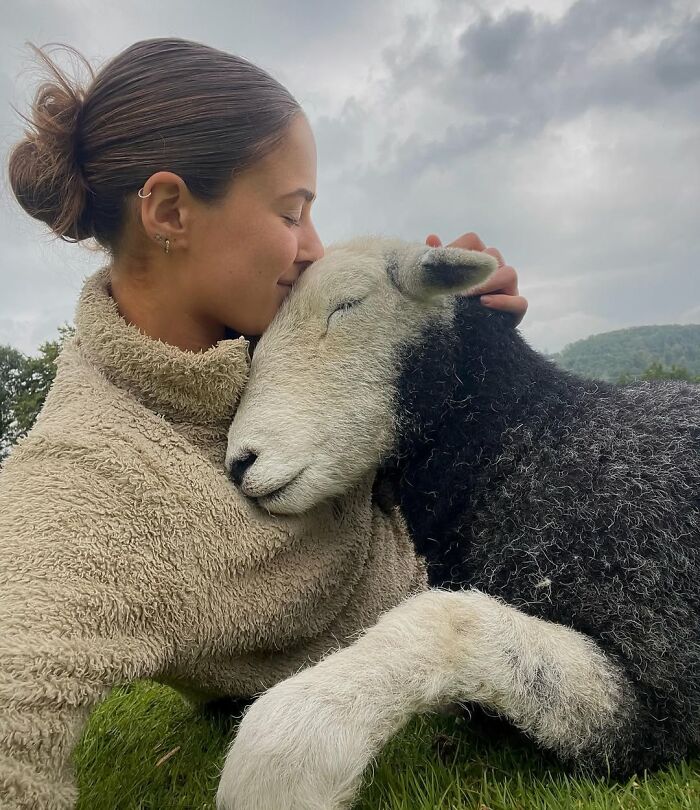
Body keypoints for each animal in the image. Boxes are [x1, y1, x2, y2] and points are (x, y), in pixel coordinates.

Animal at [217, 235, 700, 810]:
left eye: (347, 304)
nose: (239, 463)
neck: (529, 440)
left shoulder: (663, 674)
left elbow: (447, 619)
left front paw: (287, 753)